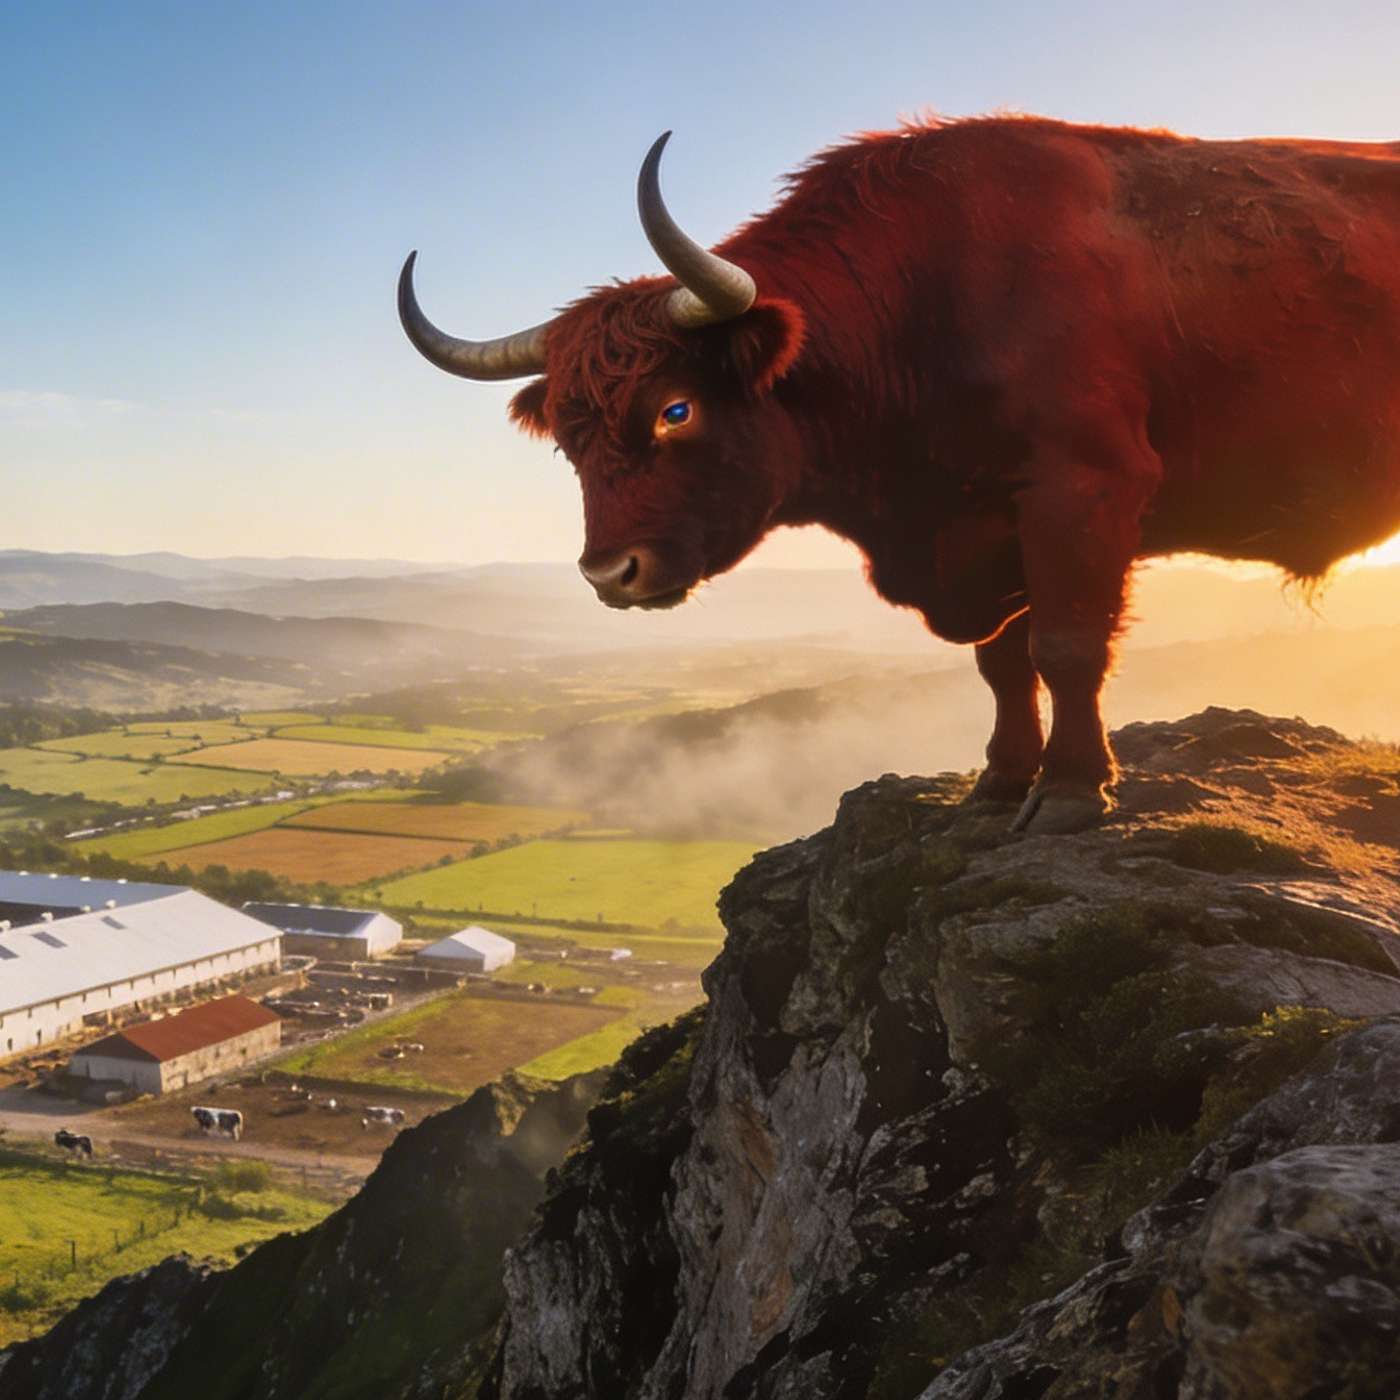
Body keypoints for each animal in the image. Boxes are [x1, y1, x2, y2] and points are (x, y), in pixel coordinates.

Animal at [399, 117, 1400, 832]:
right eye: (568, 441)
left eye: (675, 409)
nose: (612, 573)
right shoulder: (991, 529)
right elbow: (1002, 663)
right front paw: (999, 782)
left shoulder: (1082, 490)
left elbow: (1066, 647)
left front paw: (1072, 790)